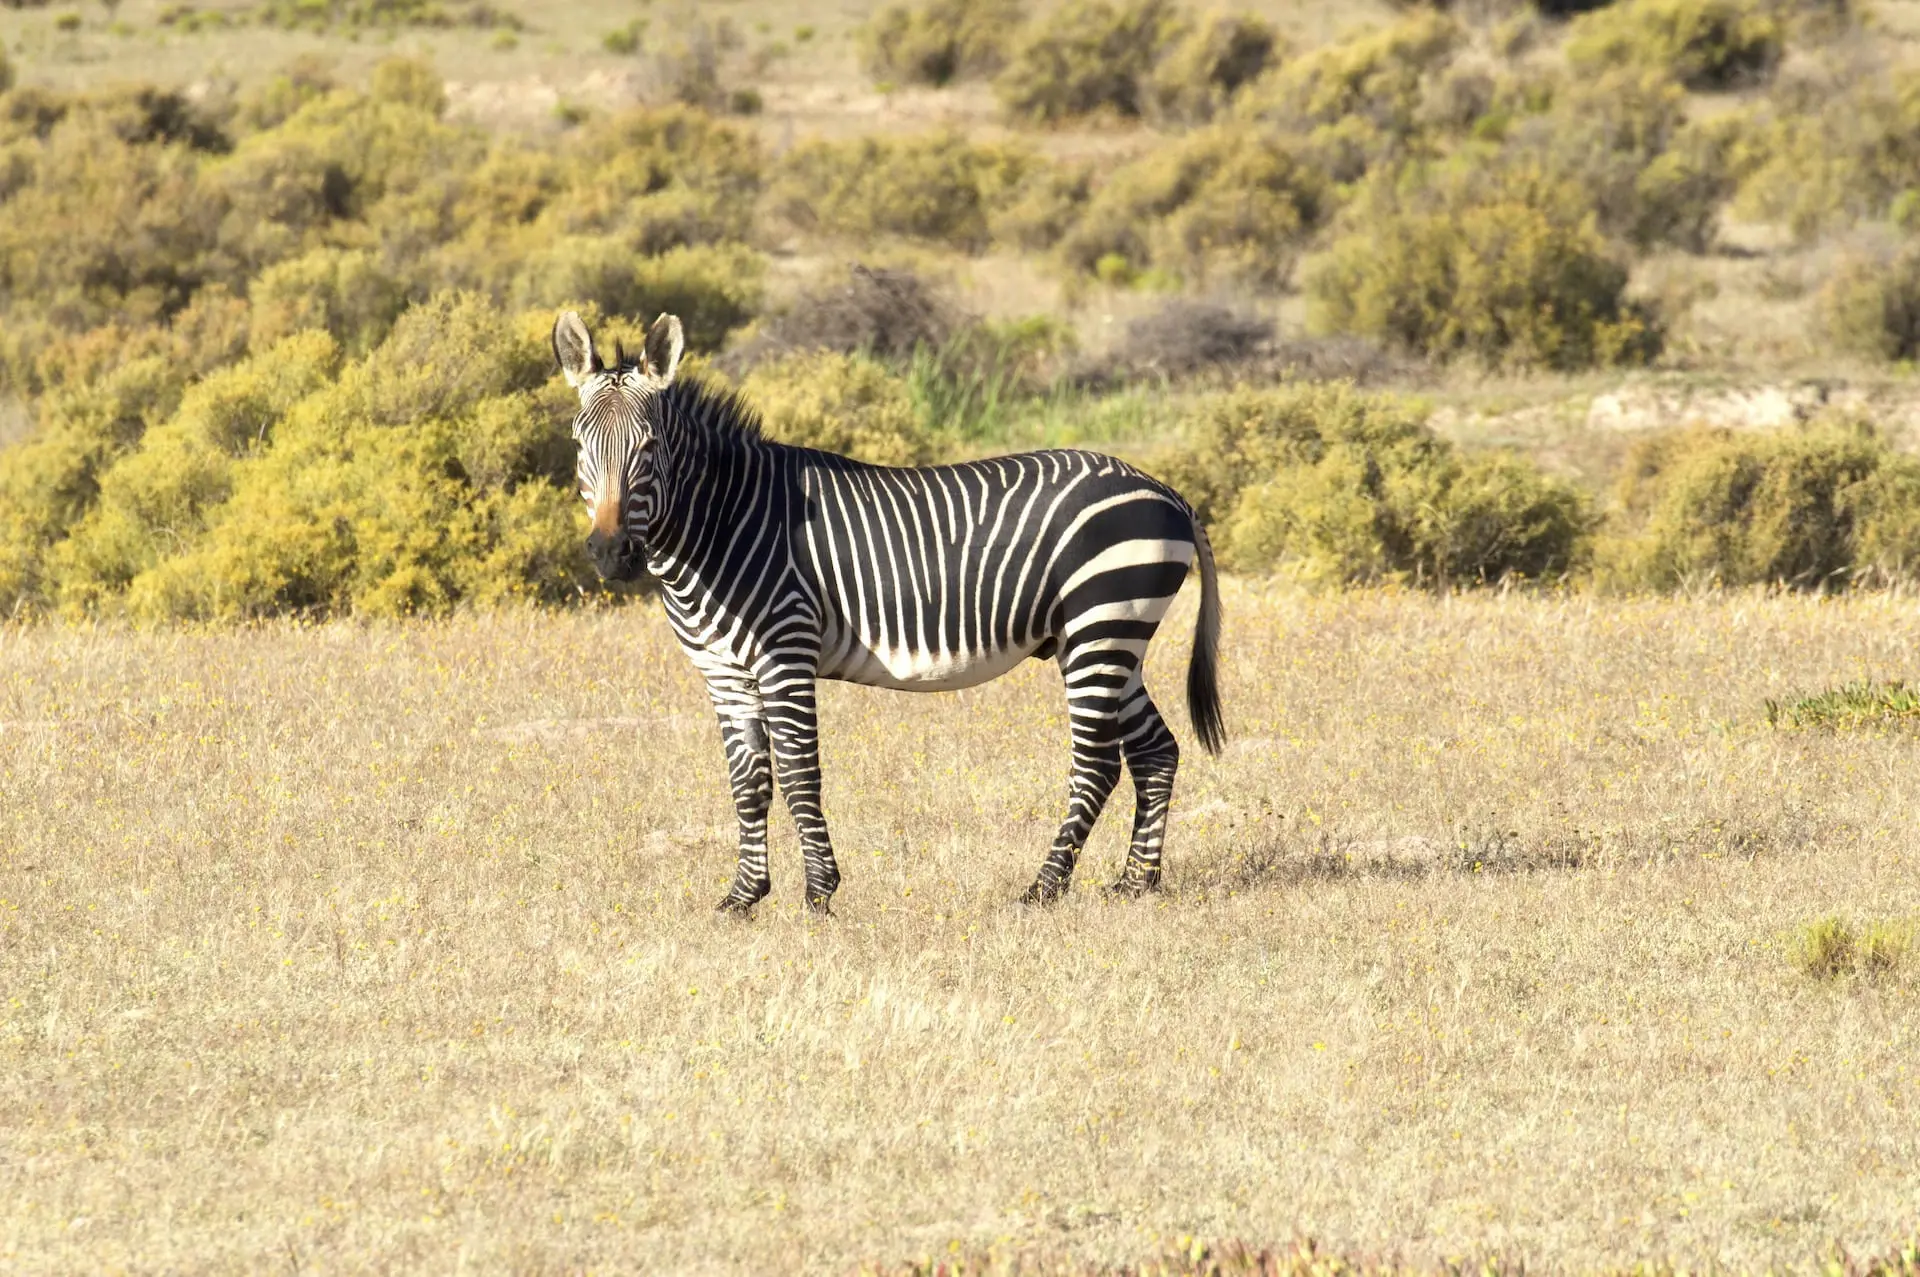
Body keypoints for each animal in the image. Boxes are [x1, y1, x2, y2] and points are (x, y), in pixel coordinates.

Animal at [553, 309, 1224, 912]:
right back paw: (1136, 883)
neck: (722, 527)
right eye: (579, 445)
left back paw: (1044, 888)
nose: (611, 553)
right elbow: (749, 785)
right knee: (1156, 750)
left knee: (1097, 765)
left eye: (648, 449)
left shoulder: (785, 654)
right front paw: (742, 897)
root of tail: (1166, 490)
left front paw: (819, 894)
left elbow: (798, 774)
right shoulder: (723, 673)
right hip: (1110, 637)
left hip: (1101, 625)